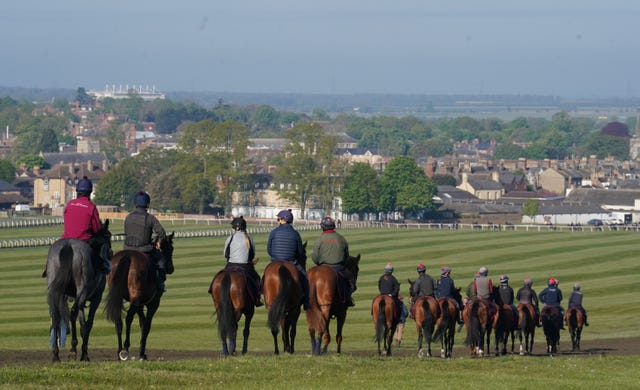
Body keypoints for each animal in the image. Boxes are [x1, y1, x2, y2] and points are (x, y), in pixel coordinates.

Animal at [45, 219, 113, 362]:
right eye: (108, 235)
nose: (111, 253)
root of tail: (68, 246)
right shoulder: (95, 298)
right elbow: (88, 324)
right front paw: (84, 353)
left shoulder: (80, 299)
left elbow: (82, 323)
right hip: (82, 289)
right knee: (72, 312)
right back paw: (74, 351)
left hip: (55, 286)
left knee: (56, 316)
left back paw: (56, 355)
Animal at [105, 233, 175, 362]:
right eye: (171, 248)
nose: (171, 268)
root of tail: (127, 256)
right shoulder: (153, 303)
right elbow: (146, 325)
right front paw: (142, 353)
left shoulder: (140, 303)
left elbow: (142, 323)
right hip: (136, 299)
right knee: (128, 318)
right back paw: (125, 348)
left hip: (121, 297)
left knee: (118, 320)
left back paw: (119, 351)